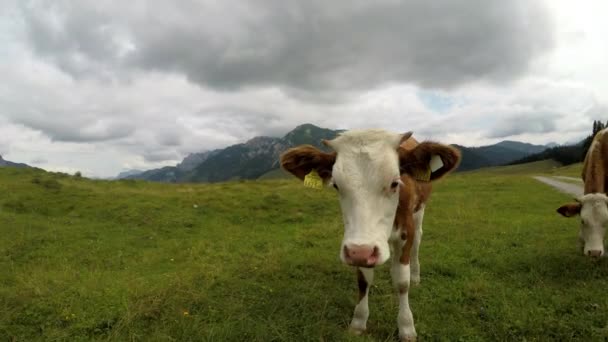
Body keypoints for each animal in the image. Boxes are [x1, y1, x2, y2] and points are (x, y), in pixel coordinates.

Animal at [280, 130, 460, 340]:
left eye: (395, 183)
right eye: (336, 185)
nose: (361, 253)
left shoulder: (405, 232)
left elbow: (402, 282)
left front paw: (406, 326)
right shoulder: (358, 244)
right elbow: (363, 281)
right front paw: (358, 321)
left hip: (419, 213)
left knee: (417, 244)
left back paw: (415, 276)